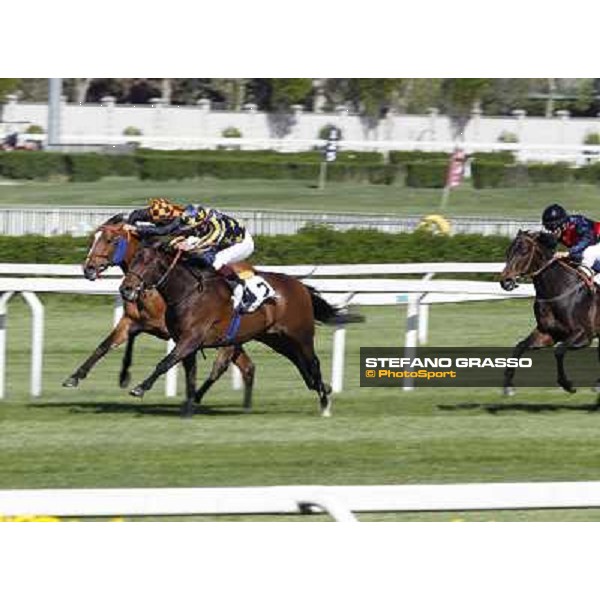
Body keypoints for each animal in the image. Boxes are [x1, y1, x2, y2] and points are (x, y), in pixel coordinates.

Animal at [64, 213, 256, 410]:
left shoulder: (171, 330)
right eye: (92, 239)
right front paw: (76, 376)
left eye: (110, 240)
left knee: (221, 365)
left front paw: (129, 379)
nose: (88, 269)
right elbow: (105, 344)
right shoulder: (131, 319)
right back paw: (243, 404)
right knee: (247, 367)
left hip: (228, 338)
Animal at [119, 241, 354, 420]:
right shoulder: (185, 342)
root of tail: (301, 286)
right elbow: (189, 375)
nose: (125, 289)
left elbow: (164, 363)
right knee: (300, 363)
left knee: (313, 363)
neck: (189, 292)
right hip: (276, 339)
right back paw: (321, 387)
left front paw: (139, 388)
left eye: (148, 262)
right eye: (134, 260)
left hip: (301, 335)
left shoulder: (190, 339)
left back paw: (324, 403)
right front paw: (188, 407)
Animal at [496, 229, 600, 394]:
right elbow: (519, 346)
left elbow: (559, 351)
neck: (559, 290)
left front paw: (567, 384)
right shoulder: (548, 334)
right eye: (508, 251)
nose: (505, 282)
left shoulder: (584, 335)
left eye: (524, 251)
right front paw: (508, 386)